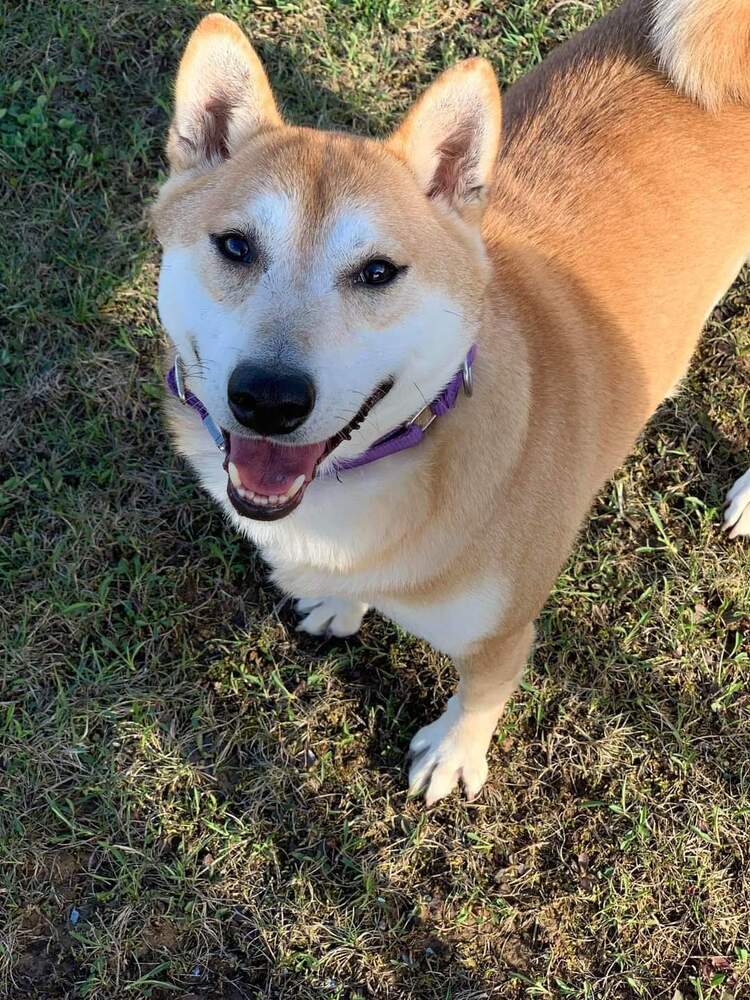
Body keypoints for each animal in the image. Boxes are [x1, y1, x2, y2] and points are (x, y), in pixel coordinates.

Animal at [153, 0, 750, 804]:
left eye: (378, 272)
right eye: (236, 247)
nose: (267, 400)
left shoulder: (504, 632)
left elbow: (483, 692)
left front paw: (454, 753)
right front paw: (341, 603)